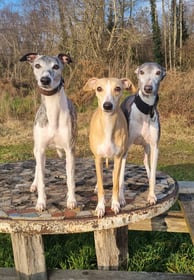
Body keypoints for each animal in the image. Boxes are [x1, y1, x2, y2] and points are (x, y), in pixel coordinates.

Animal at [20, 52, 77, 211]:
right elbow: (41, 179)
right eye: (37, 65)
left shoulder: (70, 149)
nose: (45, 80)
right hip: (36, 149)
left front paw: (71, 200)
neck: (53, 111)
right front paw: (41, 202)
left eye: (56, 66)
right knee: (38, 167)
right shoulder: (40, 150)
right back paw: (34, 184)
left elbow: (70, 178)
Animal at [83, 77, 135, 218]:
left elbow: (116, 184)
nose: (107, 105)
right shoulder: (98, 158)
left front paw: (115, 204)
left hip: (123, 156)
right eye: (99, 88)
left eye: (117, 88)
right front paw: (100, 207)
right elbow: (101, 184)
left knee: (119, 177)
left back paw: (121, 197)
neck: (108, 124)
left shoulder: (118, 158)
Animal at [119, 61, 166, 206]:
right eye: (141, 72)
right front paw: (120, 198)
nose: (148, 88)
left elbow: (153, 174)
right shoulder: (124, 148)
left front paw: (152, 196)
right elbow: (120, 175)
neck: (145, 111)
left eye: (158, 72)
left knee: (146, 160)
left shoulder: (155, 147)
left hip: (147, 146)